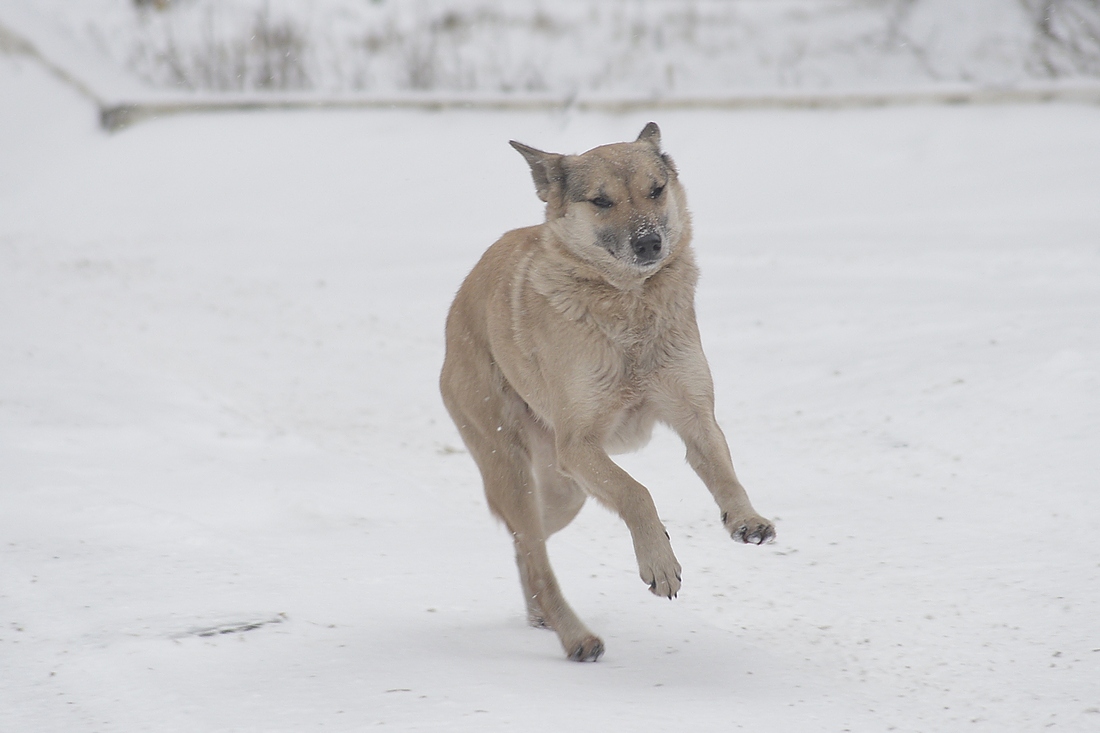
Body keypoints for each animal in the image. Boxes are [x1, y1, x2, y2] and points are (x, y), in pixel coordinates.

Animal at [437, 122, 774, 660]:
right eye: (601, 201)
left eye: (656, 190)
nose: (649, 242)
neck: (629, 303)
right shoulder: (579, 445)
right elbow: (637, 492)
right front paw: (659, 562)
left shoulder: (694, 414)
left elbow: (724, 471)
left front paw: (746, 519)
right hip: (515, 470)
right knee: (535, 557)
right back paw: (576, 636)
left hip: (563, 492)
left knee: (526, 549)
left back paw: (543, 616)